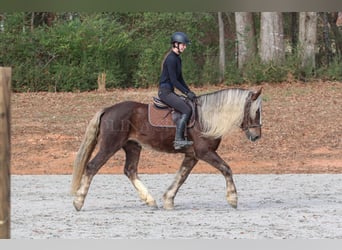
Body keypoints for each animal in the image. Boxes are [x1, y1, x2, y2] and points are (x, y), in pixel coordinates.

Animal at [69, 87, 262, 210]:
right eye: (256, 111)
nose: (256, 136)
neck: (206, 118)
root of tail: (108, 109)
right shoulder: (204, 152)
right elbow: (226, 169)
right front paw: (233, 198)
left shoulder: (192, 155)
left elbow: (181, 176)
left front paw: (168, 200)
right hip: (110, 146)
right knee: (92, 167)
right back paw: (78, 202)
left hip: (132, 147)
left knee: (130, 170)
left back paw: (150, 200)